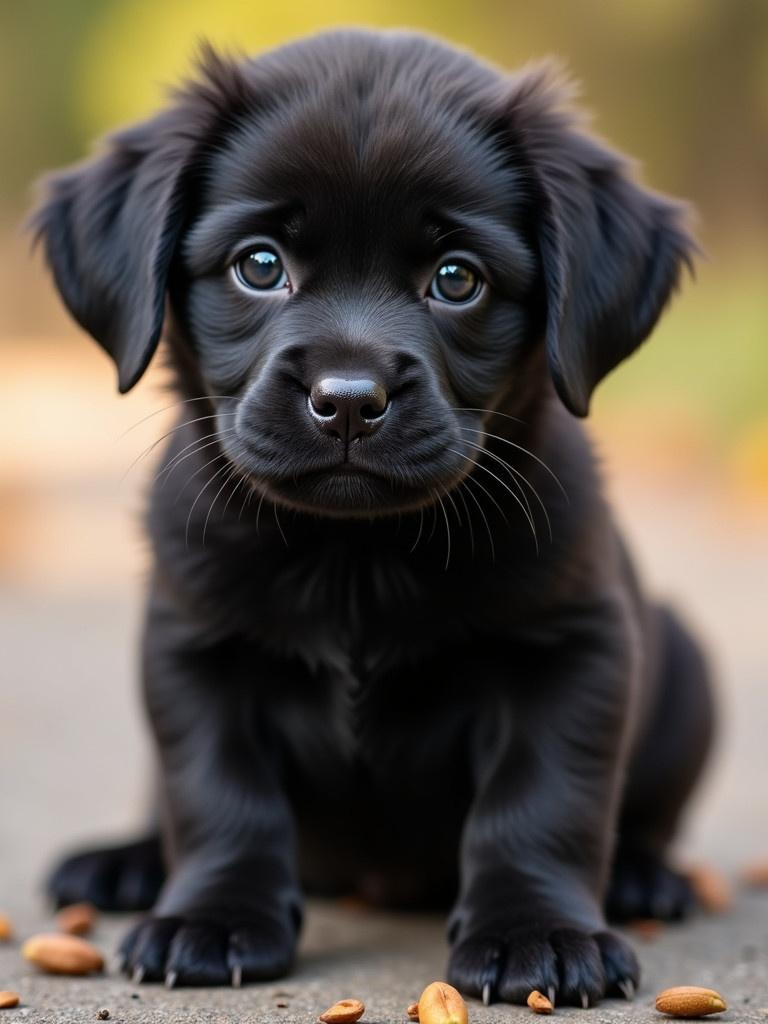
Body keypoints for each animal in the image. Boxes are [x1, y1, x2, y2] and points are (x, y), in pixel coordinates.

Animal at [31, 29, 716, 1007]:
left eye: (457, 279)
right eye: (259, 265)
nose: (349, 400)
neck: (356, 556)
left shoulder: (573, 649)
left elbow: (543, 799)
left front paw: (538, 933)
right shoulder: (193, 648)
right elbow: (218, 794)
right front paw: (213, 917)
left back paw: (644, 875)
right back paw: (123, 863)